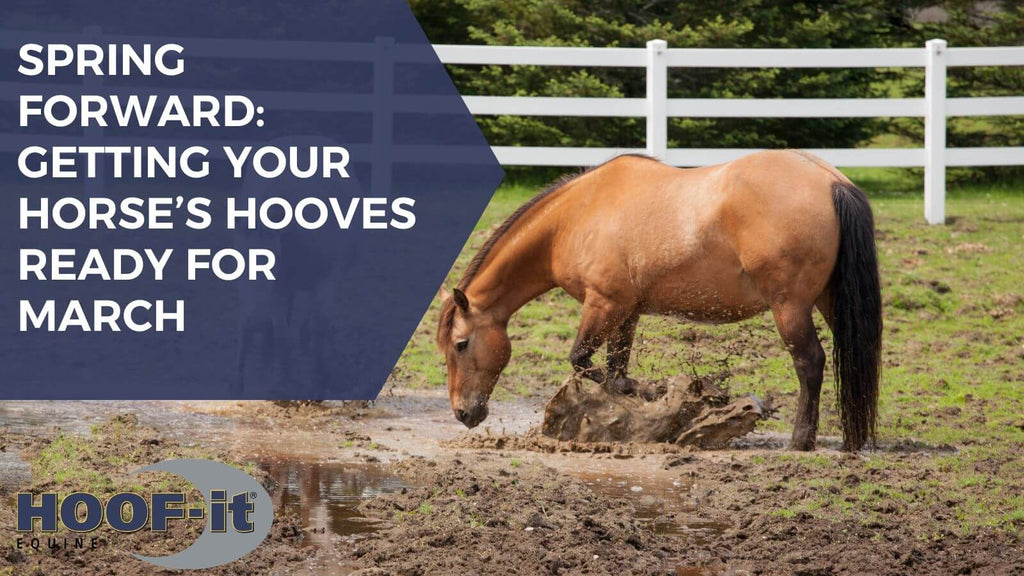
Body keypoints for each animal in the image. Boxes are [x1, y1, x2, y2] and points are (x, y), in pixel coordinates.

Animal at [437, 150, 882, 451]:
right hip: (829, 302)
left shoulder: (603, 305)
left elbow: (583, 361)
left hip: (789, 306)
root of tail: (831, 181)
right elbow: (614, 371)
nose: (463, 413)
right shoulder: (626, 312)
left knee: (810, 363)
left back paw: (800, 440)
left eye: (460, 344)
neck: (575, 218)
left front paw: (655, 396)